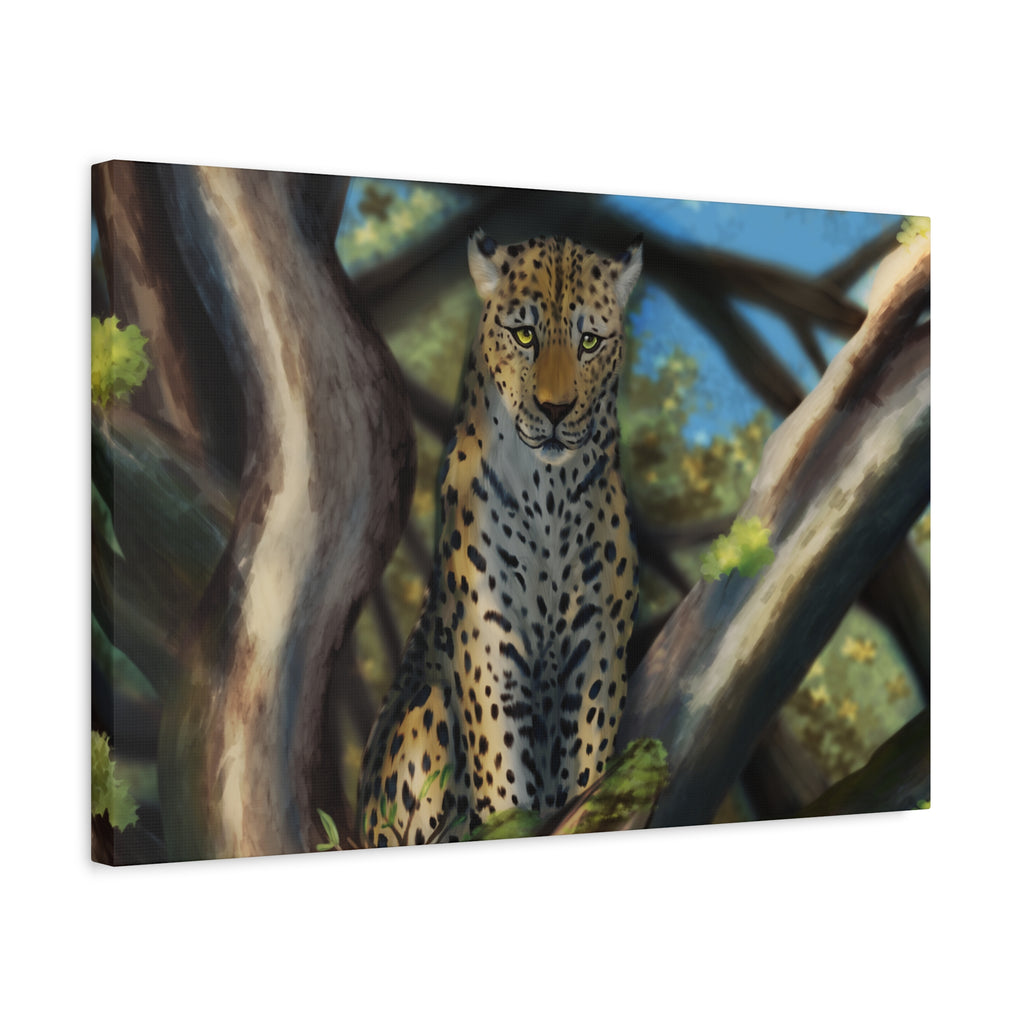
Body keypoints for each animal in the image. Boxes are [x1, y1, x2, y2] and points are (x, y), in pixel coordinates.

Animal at [357, 228, 643, 847]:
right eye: (524, 334)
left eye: (589, 341)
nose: (556, 410)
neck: (549, 492)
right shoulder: (490, 640)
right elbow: (503, 767)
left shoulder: (599, 639)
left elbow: (589, 756)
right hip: (424, 712)